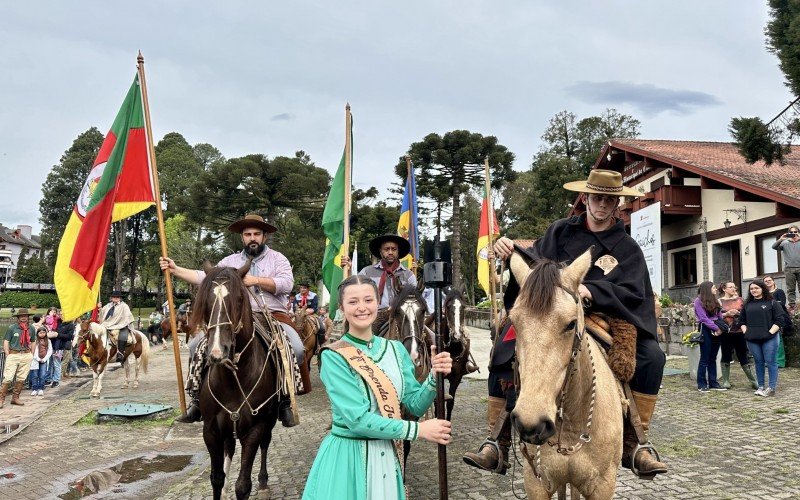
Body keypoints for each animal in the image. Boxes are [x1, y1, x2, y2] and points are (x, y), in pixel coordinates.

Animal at [194, 262, 282, 500]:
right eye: (206, 300)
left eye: (240, 299)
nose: (217, 352)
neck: (233, 381)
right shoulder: (210, 431)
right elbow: (216, 478)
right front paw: (221, 487)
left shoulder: (254, 429)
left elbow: (243, 485)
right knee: (229, 448)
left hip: (269, 419)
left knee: (266, 443)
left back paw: (264, 483)